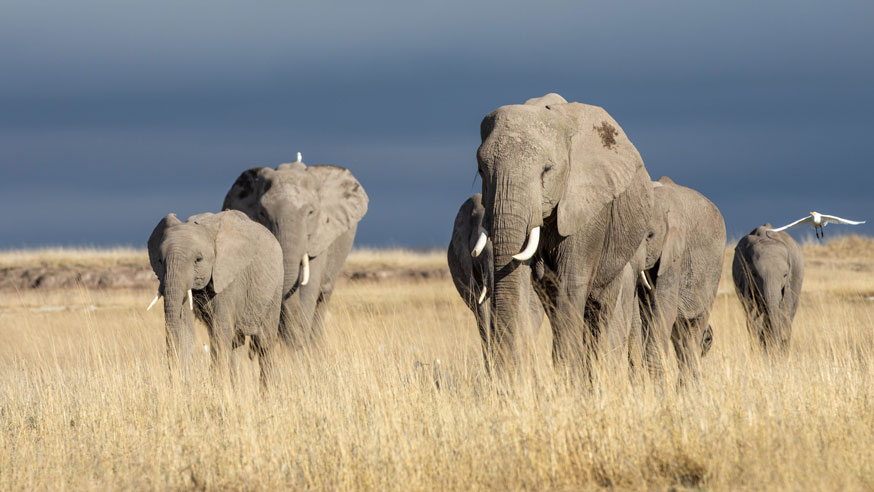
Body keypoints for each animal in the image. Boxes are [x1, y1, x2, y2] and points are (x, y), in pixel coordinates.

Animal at [147, 210, 283, 384]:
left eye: (198, 260)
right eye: (159, 260)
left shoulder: (229, 278)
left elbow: (220, 335)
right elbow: (184, 331)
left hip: (275, 287)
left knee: (264, 343)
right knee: (234, 343)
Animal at [222, 157, 368, 349]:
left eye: (311, 212)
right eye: (262, 213)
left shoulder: (319, 237)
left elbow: (308, 287)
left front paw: (299, 348)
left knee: (323, 297)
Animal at [475, 93, 654, 370]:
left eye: (547, 169)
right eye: (481, 170)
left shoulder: (588, 208)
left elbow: (571, 283)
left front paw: (567, 375)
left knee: (604, 310)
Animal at [636, 177, 726, 379]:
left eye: (650, 235)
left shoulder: (675, 251)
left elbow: (663, 308)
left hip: (713, 275)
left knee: (693, 331)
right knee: (680, 334)